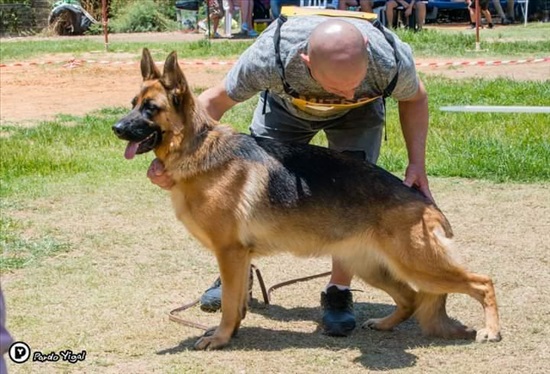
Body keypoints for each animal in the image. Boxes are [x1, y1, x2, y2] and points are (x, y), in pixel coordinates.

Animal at [114, 49, 502, 350]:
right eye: (132, 105)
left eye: (150, 108)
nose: (116, 128)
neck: (197, 149)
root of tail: (425, 204)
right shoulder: (238, 257)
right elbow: (236, 303)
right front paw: (232, 333)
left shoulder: (230, 253)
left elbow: (228, 303)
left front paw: (221, 338)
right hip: (374, 266)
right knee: (411, 298)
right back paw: (384, 324)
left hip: (417, 265)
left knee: (481, 282)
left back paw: (491, 330)